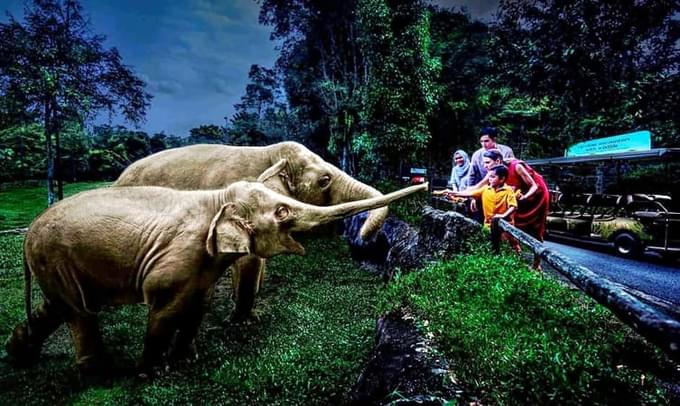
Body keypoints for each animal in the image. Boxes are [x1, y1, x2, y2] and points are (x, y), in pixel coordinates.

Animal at [6, 167, 424, 374]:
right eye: (283, 211)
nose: (426, 183)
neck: (217, 198)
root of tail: (28, 235)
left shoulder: (200, 266)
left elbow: (198, 305)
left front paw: (185, 360)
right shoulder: (176, 257)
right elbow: (164, 309)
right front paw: (149, 372)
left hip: (54, 263)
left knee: (59, 307)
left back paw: (18, 354)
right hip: (54, 256)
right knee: (79, 311)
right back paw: (99, 372)